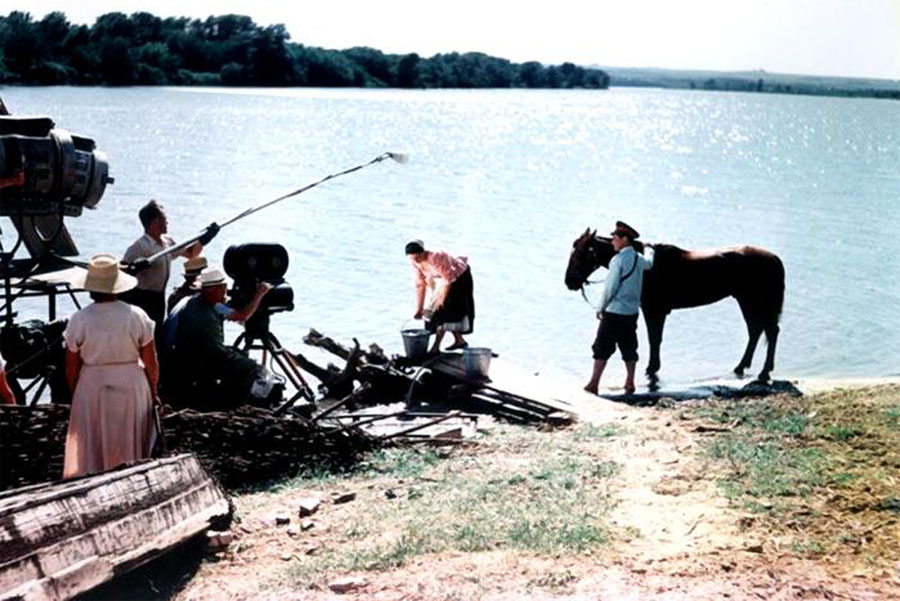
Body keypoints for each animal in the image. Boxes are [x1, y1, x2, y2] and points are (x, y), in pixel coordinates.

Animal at [568, 227, 784, 382]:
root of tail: (774, 258)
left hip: (755, 302)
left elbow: (654, 339)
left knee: (769, 331)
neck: (647, 266)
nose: (569, 281)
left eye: (581, 253)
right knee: (756, 330)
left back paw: (764, 371)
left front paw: (652, 367)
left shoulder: (654, 311)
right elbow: (655, 339)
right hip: (747, 301)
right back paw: (742, 367)